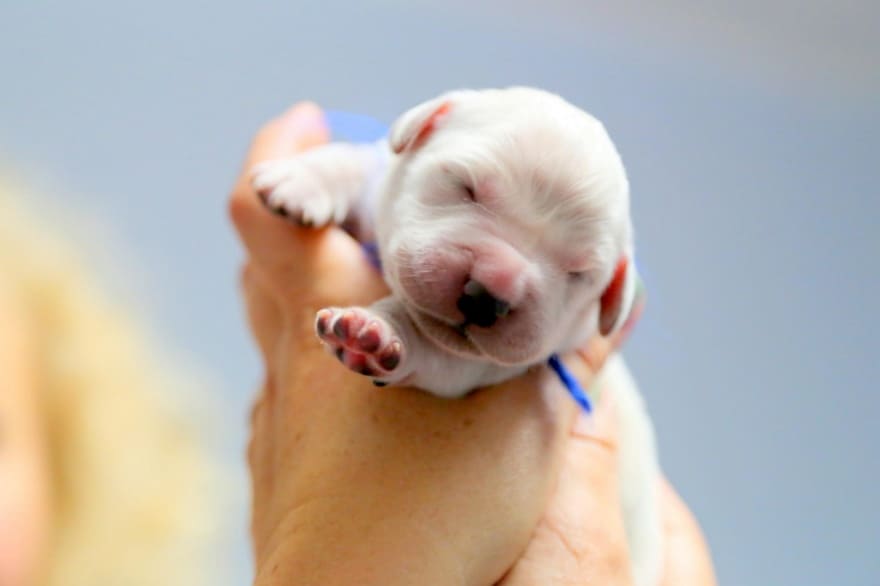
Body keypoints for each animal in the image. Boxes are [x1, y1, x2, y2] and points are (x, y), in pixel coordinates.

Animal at [251, 88, 664, 584]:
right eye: (466, 187)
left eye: (578, 271)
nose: (488, 295)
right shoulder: (380, 190)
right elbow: (359, 162)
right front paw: (301, 180)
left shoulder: (480, 367)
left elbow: (429, 344)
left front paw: (376, 335)